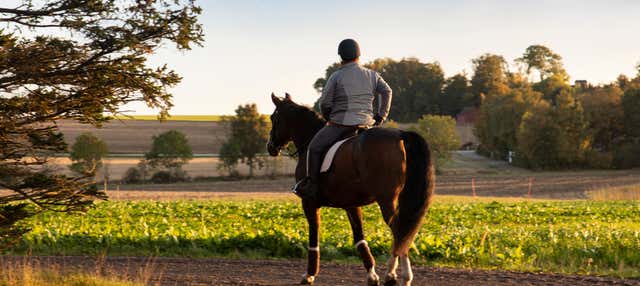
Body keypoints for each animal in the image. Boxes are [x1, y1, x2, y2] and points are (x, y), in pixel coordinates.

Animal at [264, 94, 436, 286]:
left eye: (273, 118)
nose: (270, 147)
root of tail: (400, 134)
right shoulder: (351, 205)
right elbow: (359, 237)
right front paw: (371, 275)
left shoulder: (309, 202)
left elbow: (314, 235)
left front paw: (309, 275)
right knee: (404, 232)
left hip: (386, 199)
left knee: (399, 230)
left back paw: (395, 275)